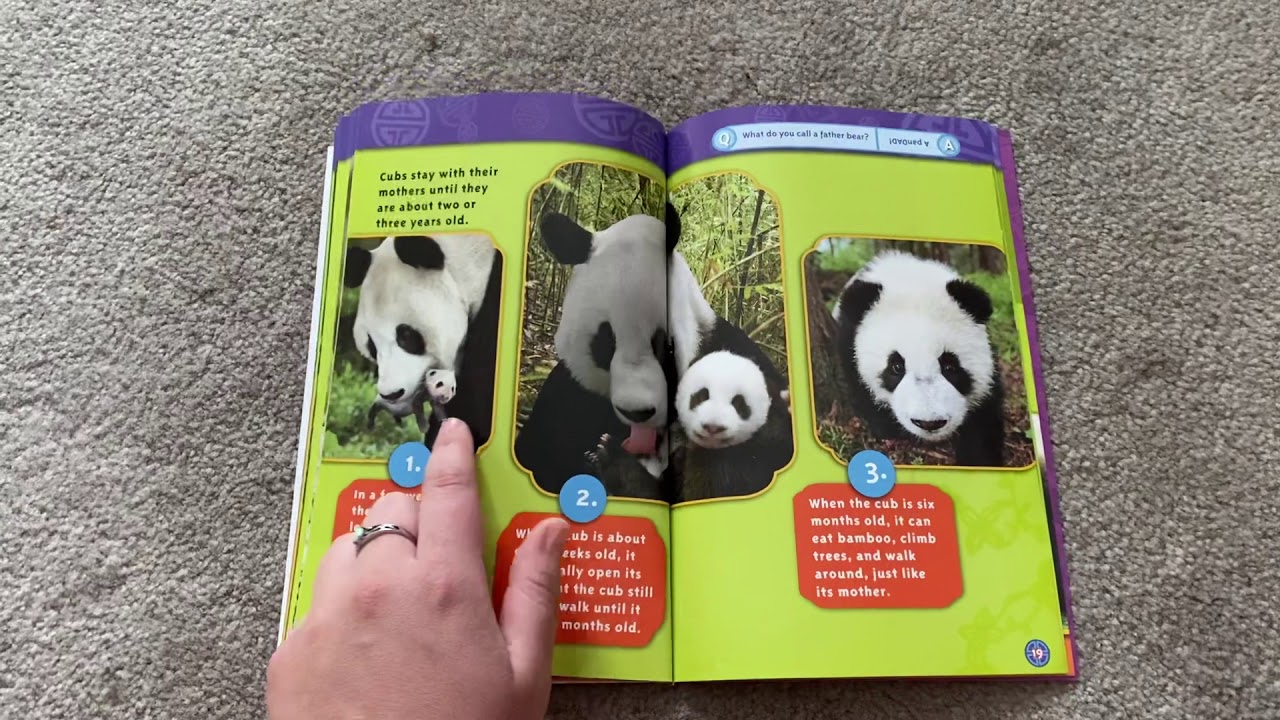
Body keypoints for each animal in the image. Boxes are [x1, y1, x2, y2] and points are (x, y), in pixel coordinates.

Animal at [832, 250, 1004, 467]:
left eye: (950, 366)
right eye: (896, 367)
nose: (929, 423)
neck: (912, 281)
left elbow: (985, 409)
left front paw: (979, 458)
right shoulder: (848, 336)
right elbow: (860, 384)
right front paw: (887, 427)